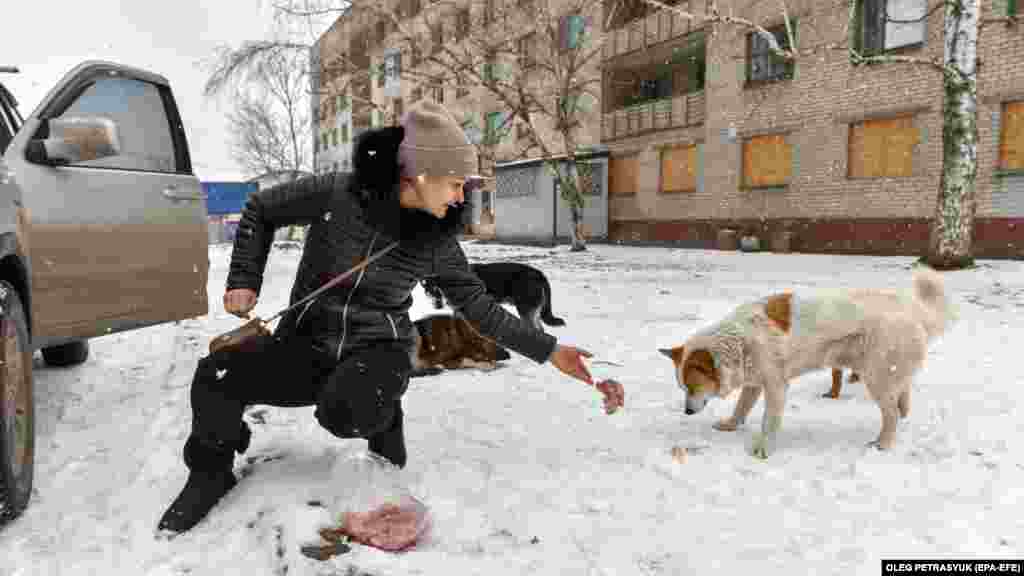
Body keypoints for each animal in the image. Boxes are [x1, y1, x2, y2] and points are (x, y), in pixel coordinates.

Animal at [423, 262, 569, 330]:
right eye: (430, 292)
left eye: (438, 290)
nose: (438, 306)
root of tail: (539, 273)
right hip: (532, 310)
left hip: (525, 309)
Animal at [659, 266, 954, 457]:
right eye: (684, 389)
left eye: (693, 388)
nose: (687, 412)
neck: (740, 342)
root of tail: (911, 310)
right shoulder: (754, 384)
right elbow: (741, 408)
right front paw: (731, 426)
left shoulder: (776, 387)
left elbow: (768, 422)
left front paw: (763, 449)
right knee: (903, 393)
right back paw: (903, 412)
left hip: (875, 378)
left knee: (890, 412)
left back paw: (883, 443)